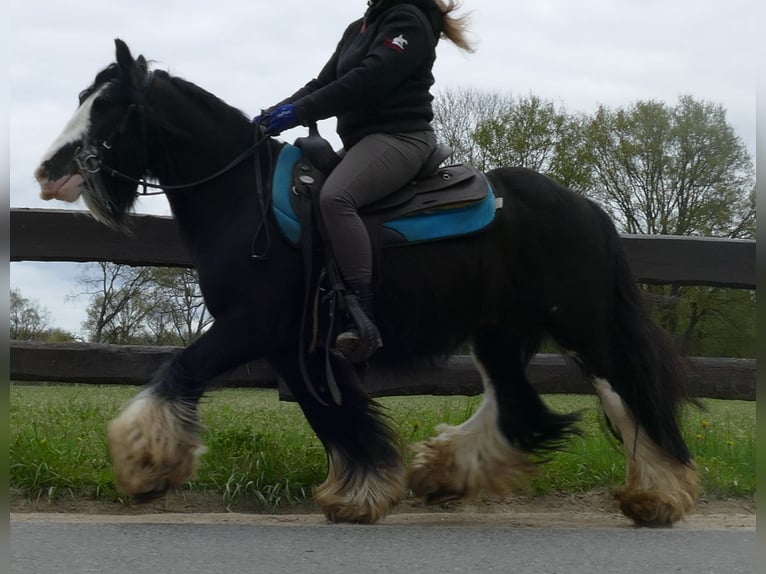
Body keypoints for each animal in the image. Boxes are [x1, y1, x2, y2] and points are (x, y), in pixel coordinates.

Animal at [34, 38, 704, 528]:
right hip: (499, 333)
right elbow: (336, 414)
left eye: (110, 107)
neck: (244, 200)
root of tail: (586, 208)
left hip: (582, 325)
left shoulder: (254, 326)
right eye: (83, 96)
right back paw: (445, 473)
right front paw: (362, 492)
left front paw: (145, 466)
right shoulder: (294, 347)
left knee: (628, 394)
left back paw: (659, 495)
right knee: (519, 407)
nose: (46, 170)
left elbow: (182, 371)